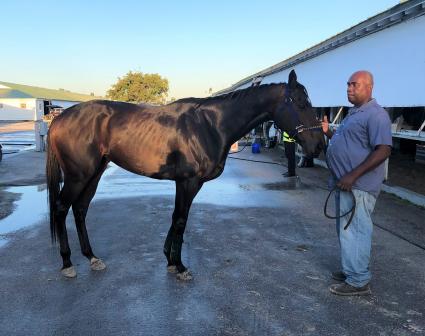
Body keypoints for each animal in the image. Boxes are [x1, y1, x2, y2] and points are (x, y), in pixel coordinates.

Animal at [46, 69, 322, 280]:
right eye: (301, 103)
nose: (319, 146)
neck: (211, 125)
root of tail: (60, 119)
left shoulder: (185, 183)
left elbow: (176, 217)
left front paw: (169, 260)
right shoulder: (189, 182)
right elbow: (180, 220)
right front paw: (179, 266)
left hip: (94, 173)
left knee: (80, 209)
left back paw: (92, 257)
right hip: (78, 176)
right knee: (61, 208)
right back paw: (67, 263)